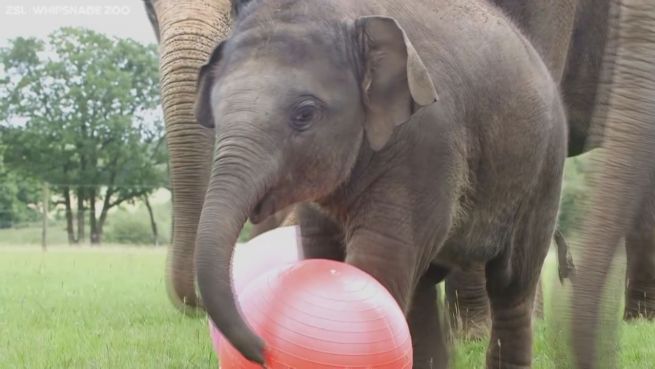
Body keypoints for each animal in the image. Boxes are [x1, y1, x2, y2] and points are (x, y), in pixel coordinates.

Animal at [195, 0, 568, 368]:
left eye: (304, 114)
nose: (263, 348)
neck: (351, 15)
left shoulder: (427, 142)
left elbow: (380, 258)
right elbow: (321, 250)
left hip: (545, 170)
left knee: (511, 285)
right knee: (424, 285)